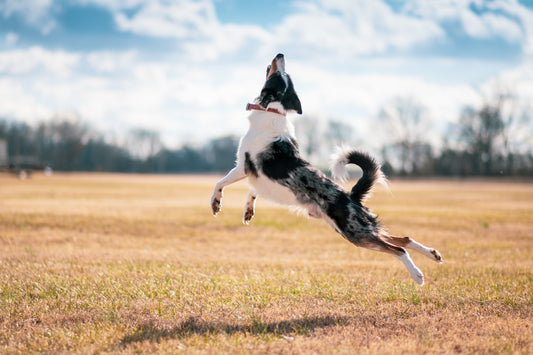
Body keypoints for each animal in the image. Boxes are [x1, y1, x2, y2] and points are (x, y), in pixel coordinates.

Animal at [210, 53, 442, 286]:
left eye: (280, 74)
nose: (280, 54)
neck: (273, 108)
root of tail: (352, 196)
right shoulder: (257, 176)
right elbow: (252, 191)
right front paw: (248, 211)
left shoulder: (243, 166)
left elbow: (220, 182)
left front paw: (216, 203)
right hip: (357, 229)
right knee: (403, 238)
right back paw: (433, 254)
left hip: (355, 232)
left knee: (398, 249)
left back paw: (417, 274)